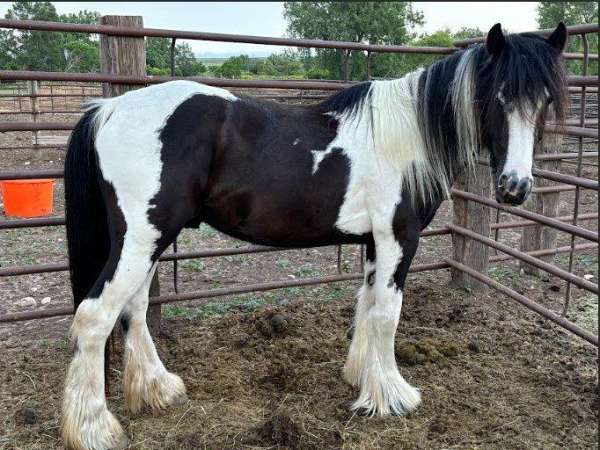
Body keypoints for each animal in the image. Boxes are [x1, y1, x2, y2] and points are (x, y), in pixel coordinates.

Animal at [59, 24, 568, 450]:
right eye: (498, 97)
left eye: (544, 100)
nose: (515, 187)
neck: (407, 138)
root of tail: (109, 109)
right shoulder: (398, 238)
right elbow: (387, 314)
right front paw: (394, 397)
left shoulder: (373, 241)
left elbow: (366, 306)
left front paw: (362, 378)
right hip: (142, 239)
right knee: (95, 317)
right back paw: (94, 429)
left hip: (149, 241)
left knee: (135, 309)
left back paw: (158, 390)